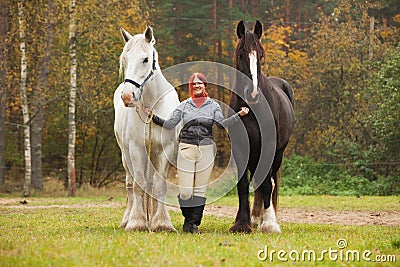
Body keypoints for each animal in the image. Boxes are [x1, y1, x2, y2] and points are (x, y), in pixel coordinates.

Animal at [114, 26, 180, 232]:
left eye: (145, 59)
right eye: (125, 59)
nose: (127, 96)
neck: (153, 106)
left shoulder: (165, 150)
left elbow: (159, 186)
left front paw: (162, 223)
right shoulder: (137, 149)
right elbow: (138, 185)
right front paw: (137, 222)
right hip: (126, 155)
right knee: (130, 184)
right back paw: (128, 219)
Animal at [228, 21, 294, 233]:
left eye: (261, 55)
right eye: (241, 54)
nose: (253, 93)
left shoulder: (269, 148)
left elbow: (266, 185)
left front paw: (270, 224)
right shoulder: (240, 148)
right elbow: (243, 184)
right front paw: (242, 223)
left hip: (278, 153)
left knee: (269, 181)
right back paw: (256, 218)